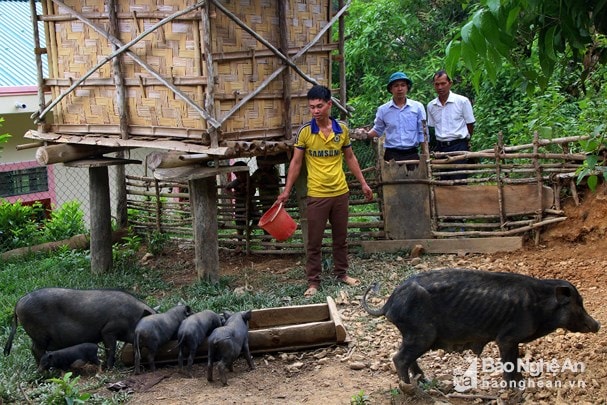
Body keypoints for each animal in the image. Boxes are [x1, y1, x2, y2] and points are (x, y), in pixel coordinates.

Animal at [3, 286, 156, 368]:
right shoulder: (108, 330)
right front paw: (109, 367)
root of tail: (18, 303)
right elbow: (110, 349)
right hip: (39, 334)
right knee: (35, 349)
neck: (132, 318)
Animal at [364, 270, 600, 384]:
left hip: (414, 336)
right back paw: (410, 389)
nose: (597, 324)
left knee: (407, 358)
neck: (540, 307)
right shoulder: (507, 337)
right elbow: (509, 363)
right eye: (578, 304)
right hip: (421, 334)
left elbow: (516, 362)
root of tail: (389, 303)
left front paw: (522, 380)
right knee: (399, 358)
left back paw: (424, 381)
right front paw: (515, 387)